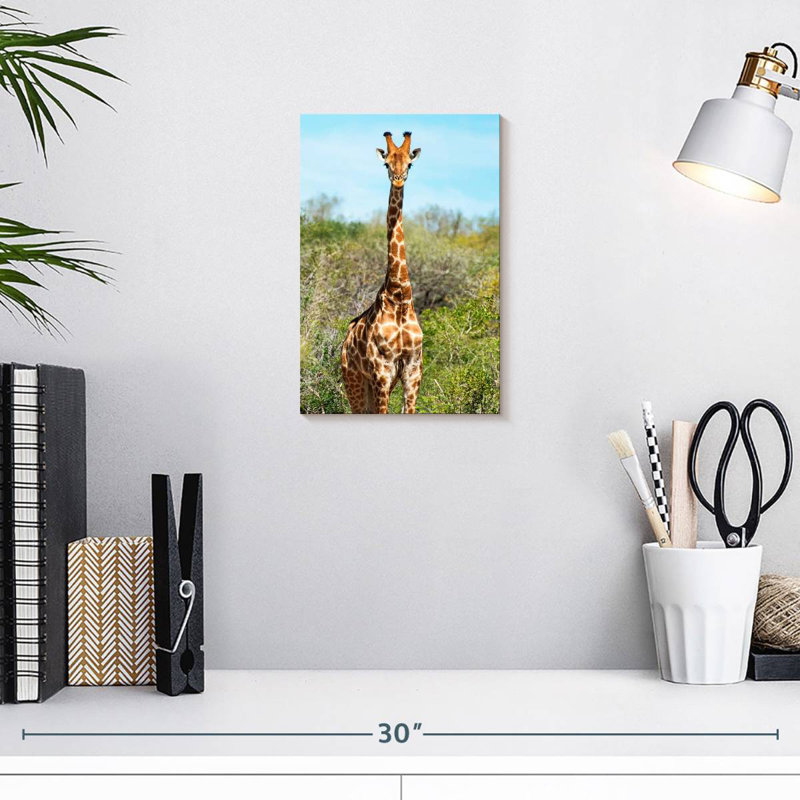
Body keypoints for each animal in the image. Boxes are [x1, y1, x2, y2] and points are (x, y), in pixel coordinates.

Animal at [341, 131, 423, 414]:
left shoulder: (413, 370)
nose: (398, 180)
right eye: (387, 163)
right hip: (354, 381)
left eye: (409, 164)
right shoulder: (382, 371)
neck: (400, 295)